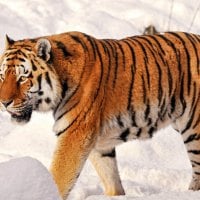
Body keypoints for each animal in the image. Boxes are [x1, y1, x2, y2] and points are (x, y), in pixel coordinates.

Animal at [0, 31, 200, 198]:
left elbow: (59, 176)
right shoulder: (98, 141)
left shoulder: (75, 134)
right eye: (2, 76)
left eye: (22, 78)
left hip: (194, 130)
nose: (3, 102)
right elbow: (110, 175)